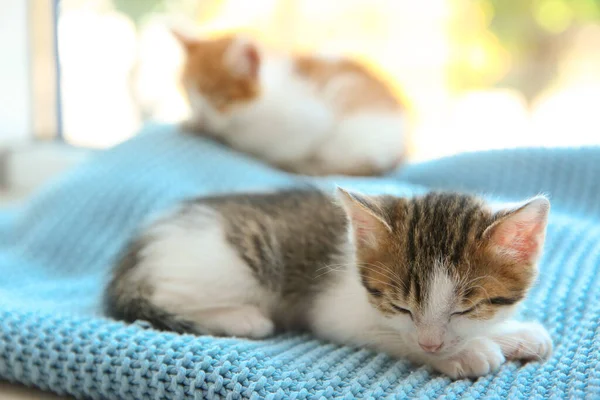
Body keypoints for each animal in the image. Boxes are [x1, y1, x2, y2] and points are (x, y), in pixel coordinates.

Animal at [106, 188, 552, 378]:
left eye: (467, 307)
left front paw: (514, 333)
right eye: (401, 306)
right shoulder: (336, 314)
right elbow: (392, 337)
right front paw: (467, 353)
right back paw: (242, 318)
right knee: (166, 295)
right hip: (233, 267)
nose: (432, 344)